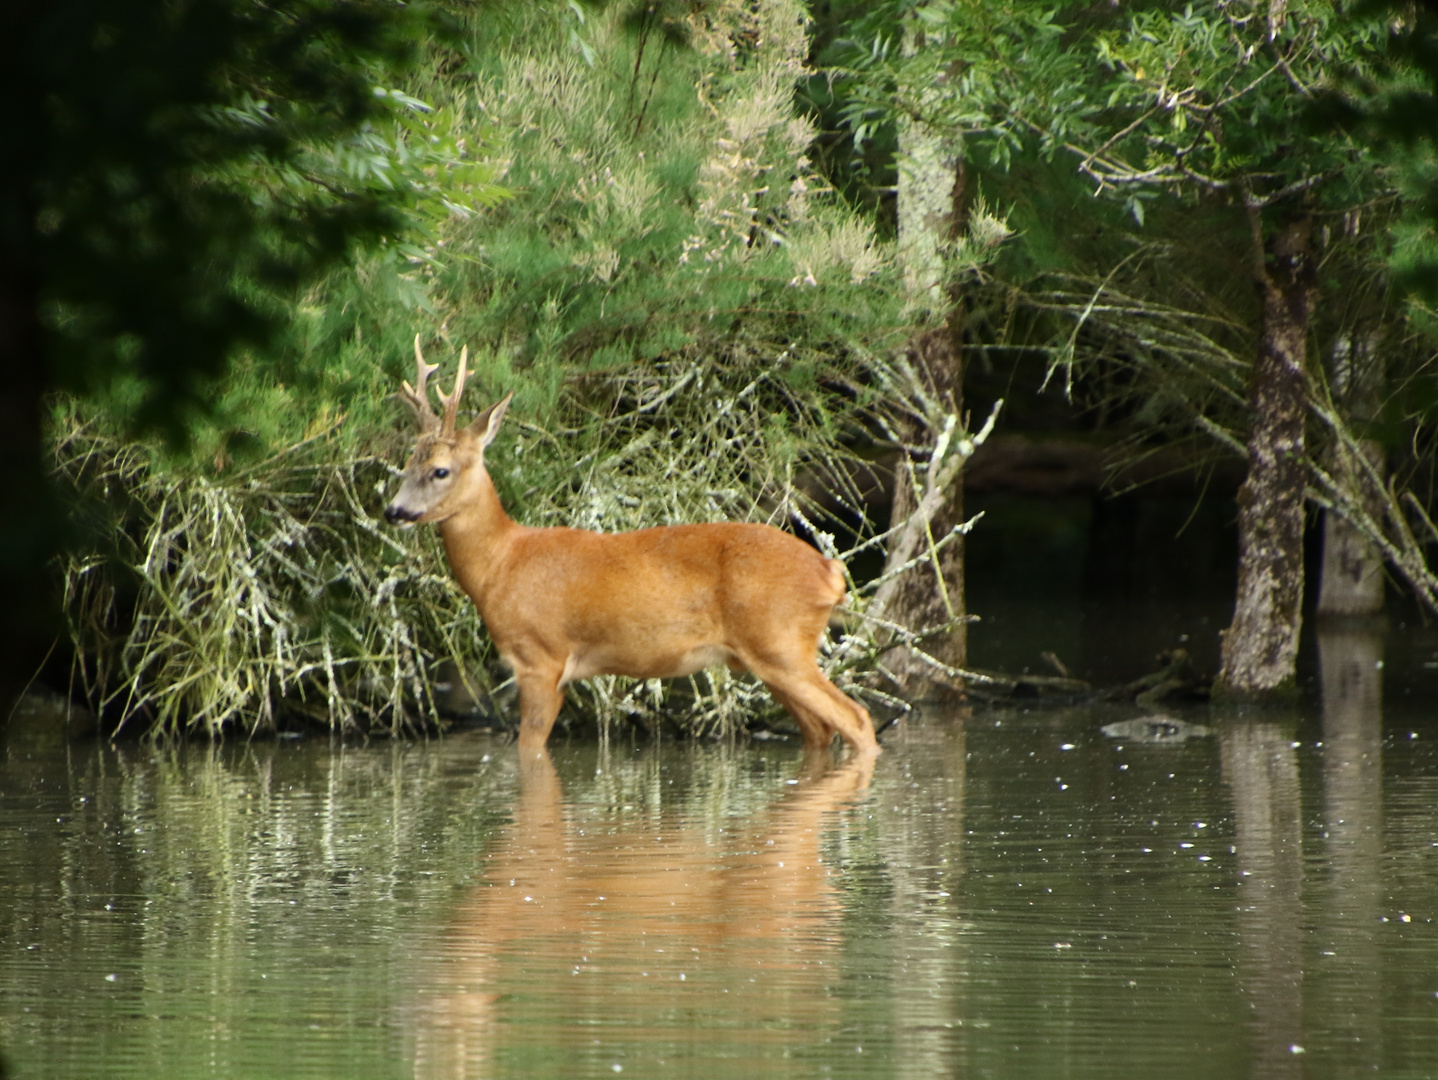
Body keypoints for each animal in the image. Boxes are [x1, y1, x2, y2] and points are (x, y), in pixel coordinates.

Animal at [382, 337, 874, 759]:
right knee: (821, 730)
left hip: (780, 642)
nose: (393, 510)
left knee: (857, 719)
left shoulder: (540, 657)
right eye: (407, 464)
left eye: (441, 470)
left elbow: (530, 750)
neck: (501, 563)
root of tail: (831, 573)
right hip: (770, 656)